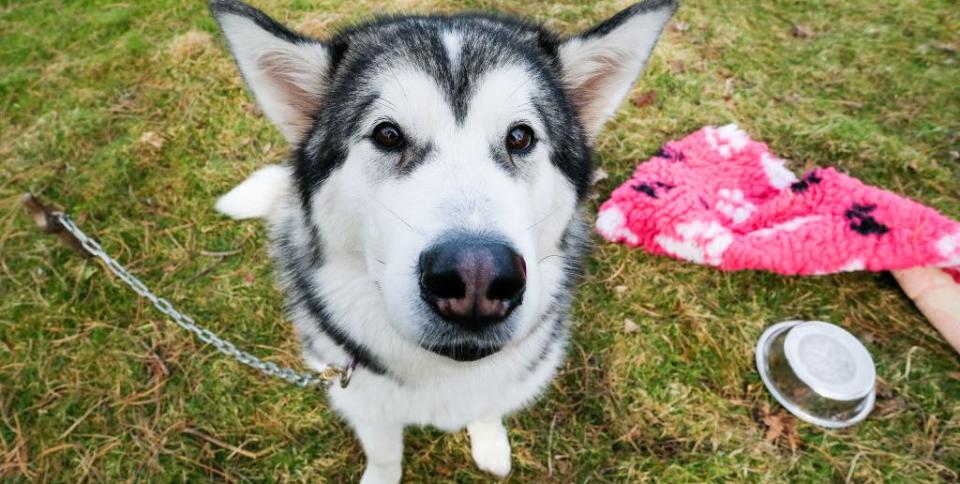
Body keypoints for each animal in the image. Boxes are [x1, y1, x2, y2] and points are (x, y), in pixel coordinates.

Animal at [210, 0, 676, 480]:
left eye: (520, 136)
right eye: (387, 135)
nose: (476, 277)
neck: (445, 373)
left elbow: (489, 408)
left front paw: (490, 444)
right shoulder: (358, 393)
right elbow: (384, 450)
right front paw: (381, 476)